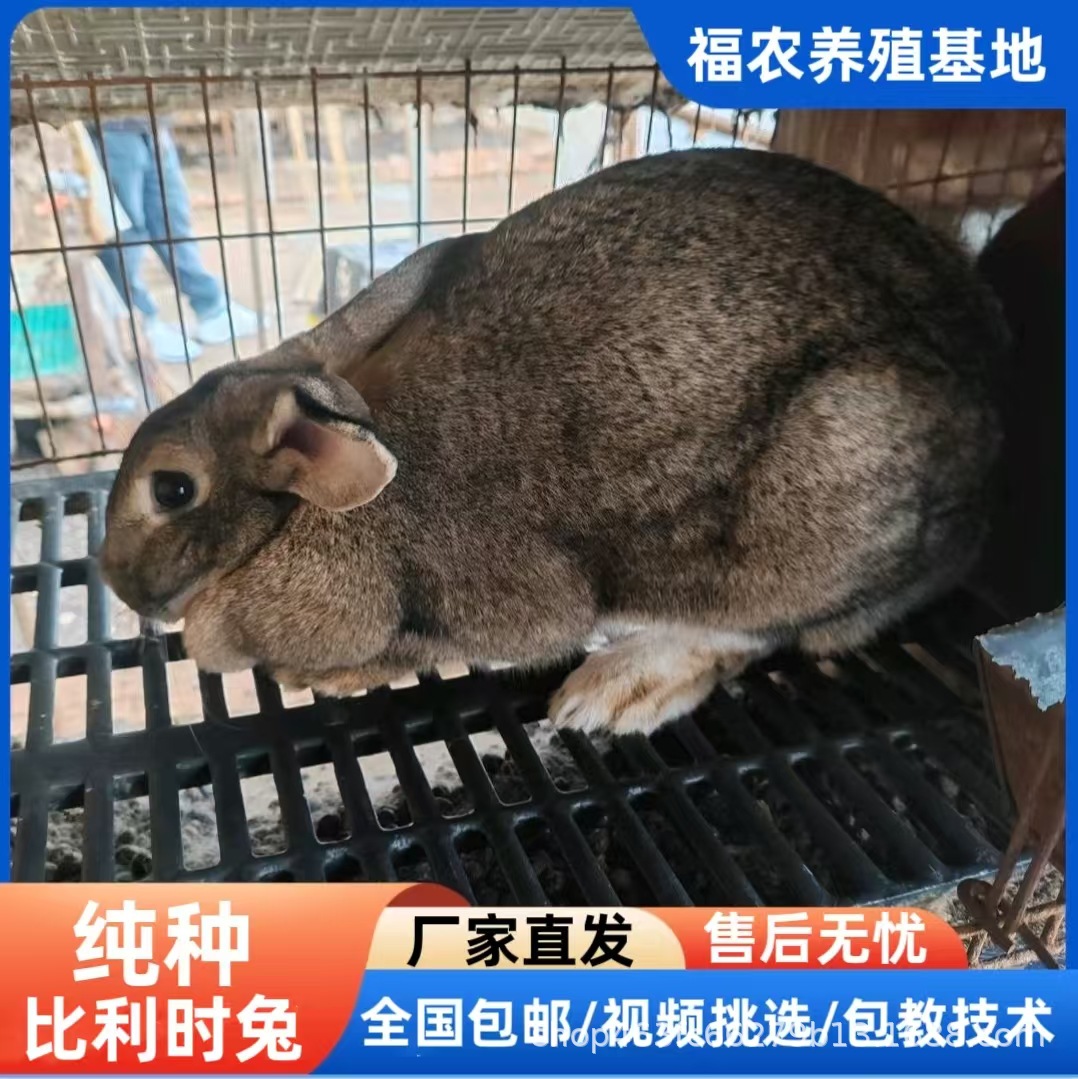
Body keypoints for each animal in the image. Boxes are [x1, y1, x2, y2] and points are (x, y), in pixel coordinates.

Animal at [99, 147, 1007, 737]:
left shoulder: (499, 609)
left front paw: (317, 674)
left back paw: (614, 692)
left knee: (760, 629)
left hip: (823, 487)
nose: (113, 579)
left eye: (171, 489)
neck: (305, 513)